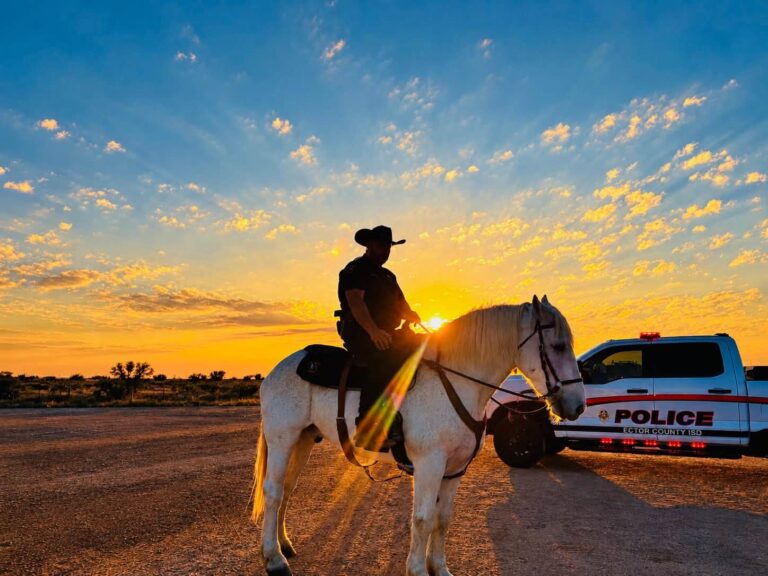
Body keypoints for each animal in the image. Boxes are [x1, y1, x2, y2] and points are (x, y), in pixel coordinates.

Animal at [251, 295, 585, 576]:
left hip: (303, 440)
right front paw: (418, 570)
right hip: (282, 439)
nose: (577, 405)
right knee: (273, 491)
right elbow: (423, 519)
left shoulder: (455, 470)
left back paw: (284, 545)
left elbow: (442, 519)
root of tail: (278, 370)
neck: (455, 382)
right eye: (558, 346)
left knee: (287, 489)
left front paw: (439, 568)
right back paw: (274, 558)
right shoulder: (429, 465)